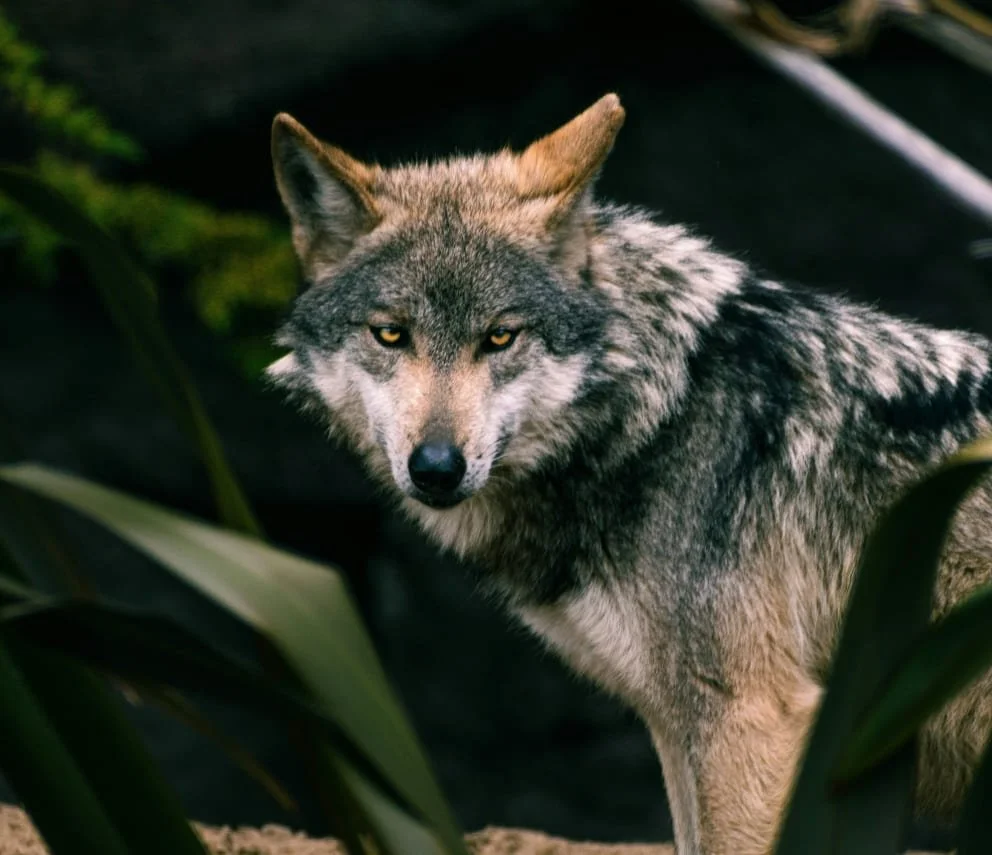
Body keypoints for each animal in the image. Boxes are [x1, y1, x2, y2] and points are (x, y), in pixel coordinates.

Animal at [265, 94, 992, 854]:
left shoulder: (751, 716)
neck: (658, 411)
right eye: (390, 334)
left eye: (500, 336)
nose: (436, 467)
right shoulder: (675, 723)